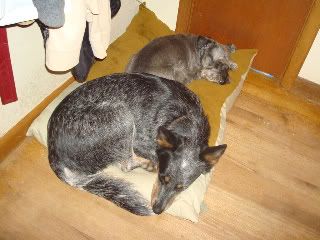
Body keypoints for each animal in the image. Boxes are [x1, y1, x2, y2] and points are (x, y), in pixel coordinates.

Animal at [48, 72, 228, 215]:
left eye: (182, 188)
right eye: (162, 178)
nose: (157, 210)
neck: (185, 117)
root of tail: (52, 150)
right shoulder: (140, 142)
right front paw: (151, 161)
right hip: (121, 115)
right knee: (126, 164)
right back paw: (146, 164)